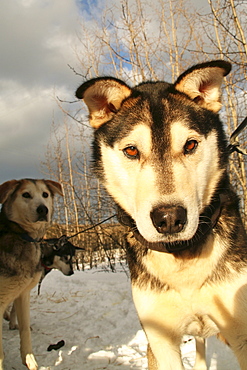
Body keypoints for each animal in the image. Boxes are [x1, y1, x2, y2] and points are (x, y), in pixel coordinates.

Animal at [0, 178, 62, 368]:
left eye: (45, 194)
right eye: (26, 194)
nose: (43, 209)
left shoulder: (22, 294)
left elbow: (25, 329)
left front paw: (30, 361)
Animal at [76, 60, 247, 370]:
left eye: (190, 145)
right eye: (132, 150)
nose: (169, 219)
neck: (182, 261)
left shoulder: (241, 331)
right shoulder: (160, 339)